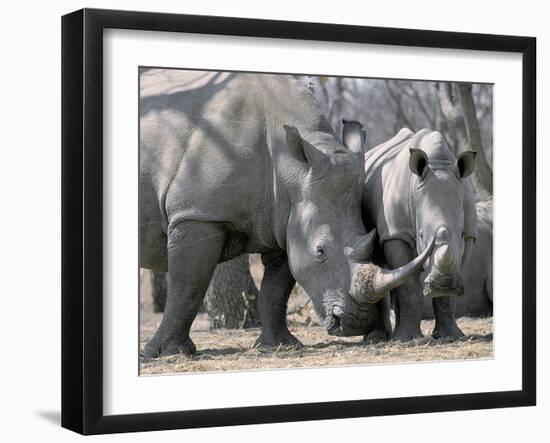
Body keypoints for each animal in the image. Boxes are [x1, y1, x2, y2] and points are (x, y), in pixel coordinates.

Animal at [140, 71, 434, 360]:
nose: (356, 323)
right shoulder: (197, 214)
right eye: (320, 251)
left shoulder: (285, 219)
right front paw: (169, 354)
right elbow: (188, 286)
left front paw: (281, 345)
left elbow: (277, 290)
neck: (290, 167)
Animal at [344, 123, 478, 342]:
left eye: (460, 234)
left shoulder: (469, 235)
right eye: (421, 236)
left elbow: (448, 283)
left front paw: (450, 336)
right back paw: (379, 338)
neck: (439, 164)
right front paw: (408, 339)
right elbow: (408, 287)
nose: (444, 284)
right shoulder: (396, 233)